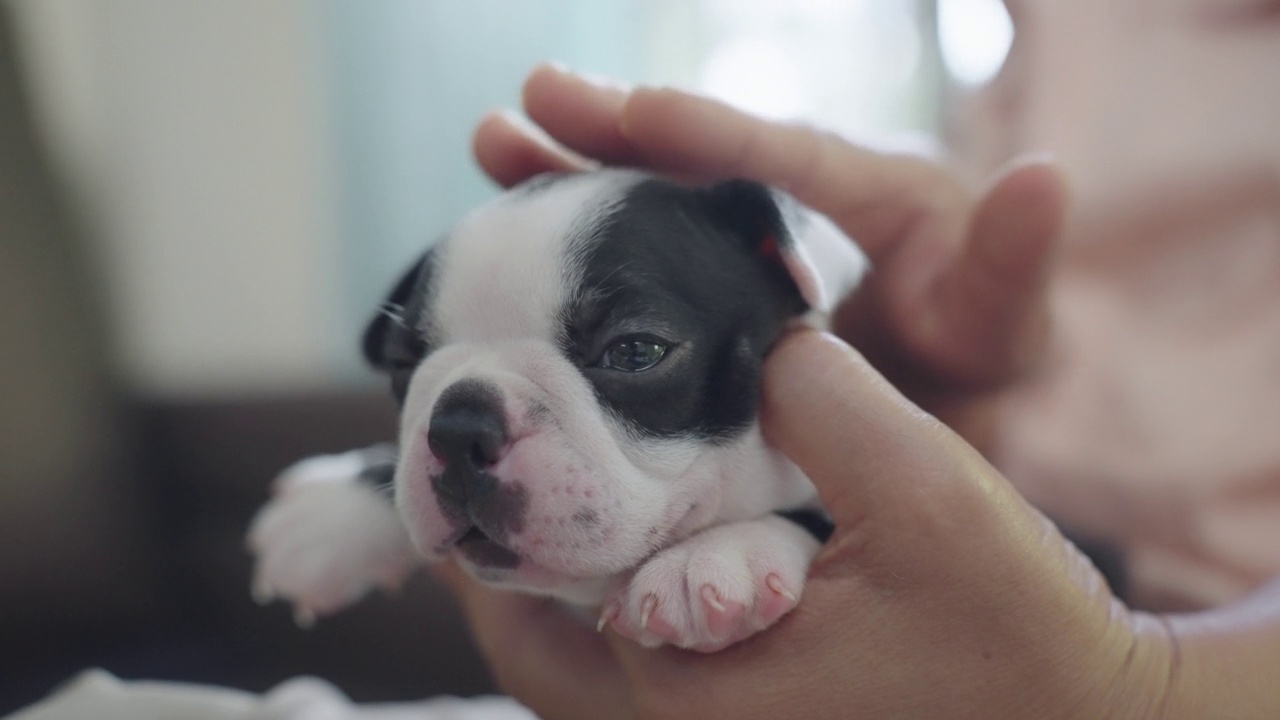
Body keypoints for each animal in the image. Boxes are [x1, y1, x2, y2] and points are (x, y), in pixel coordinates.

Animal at [247, 167, 870, 650]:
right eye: (404, 364)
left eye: (635, 351)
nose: (458, 429)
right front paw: (332, 515)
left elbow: (811, 512)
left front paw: (717, 555)